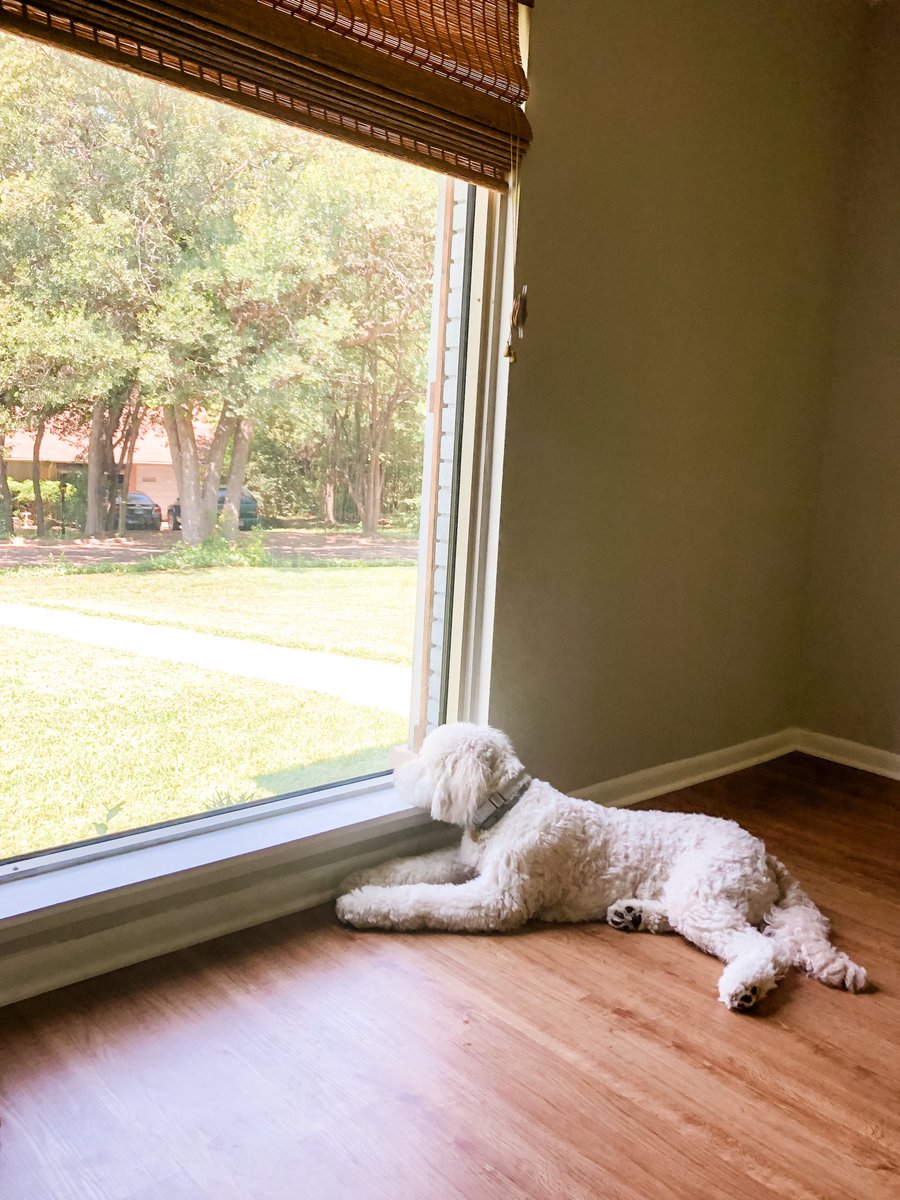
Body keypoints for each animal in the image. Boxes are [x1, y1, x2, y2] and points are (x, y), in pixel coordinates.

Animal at [336, 720, 868, 1012]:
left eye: (426, 760)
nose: (394, 763)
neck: (509, 809)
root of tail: (766, 854)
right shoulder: (466, 863)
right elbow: (414, 867)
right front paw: (361, 877)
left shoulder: (495, 899)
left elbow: (421, 899)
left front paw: (360, 905)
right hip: (690, 896)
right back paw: (631, 913)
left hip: (704, 893)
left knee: (762, 948)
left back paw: (746, 988)